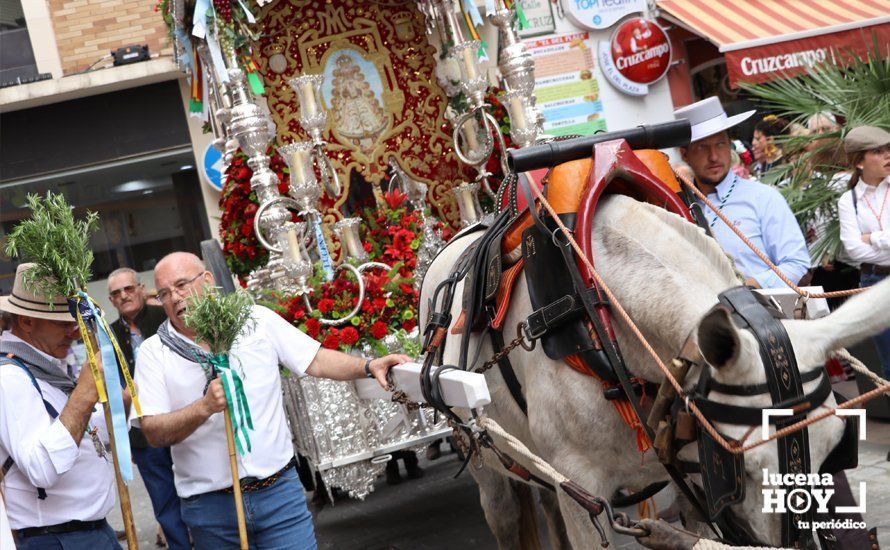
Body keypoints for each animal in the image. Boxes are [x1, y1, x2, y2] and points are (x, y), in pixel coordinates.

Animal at [418, 196, 888, 548]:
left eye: (835, 450)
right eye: (744, 468)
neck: (601, 316)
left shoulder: (687, 473)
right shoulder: (580, 489)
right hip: (481, 453)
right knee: (504, 512)